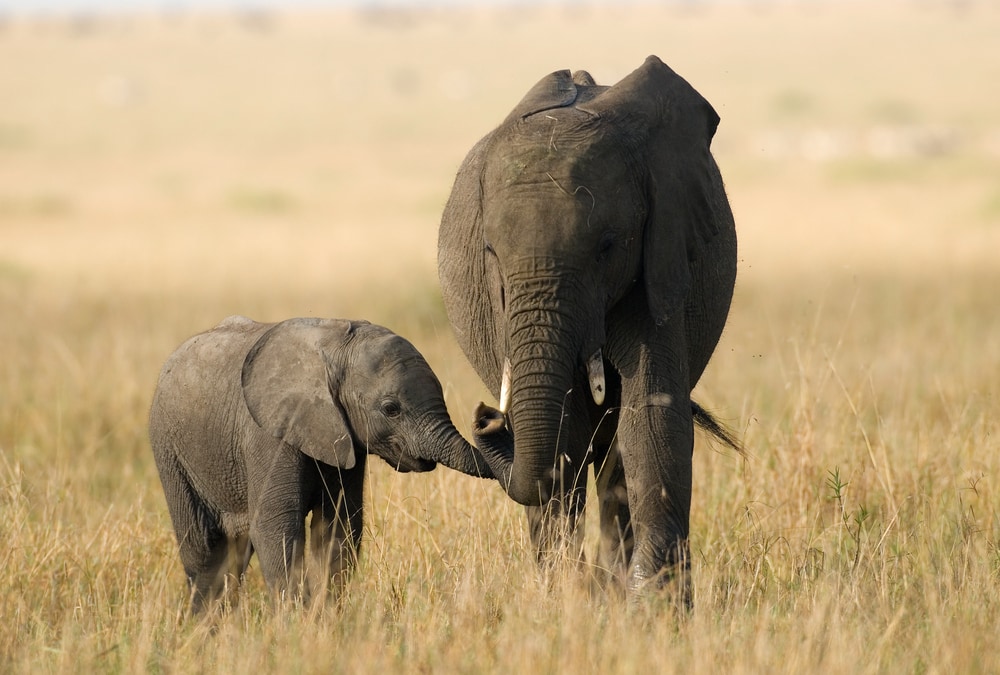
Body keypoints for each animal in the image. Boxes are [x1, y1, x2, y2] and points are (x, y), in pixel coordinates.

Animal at [148, 315, 513, 612]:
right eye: (391, 409)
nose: (488, 415)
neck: (335, 349)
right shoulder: (269, 434)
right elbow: (275, 526)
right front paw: (294, 626)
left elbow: (339, 526)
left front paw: (324, 620)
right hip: (170, 451)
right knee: (204, 551)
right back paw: (205, 629)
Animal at [438, 55, 739, 601]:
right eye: (490, 253)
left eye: (606, 246)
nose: (487, 417)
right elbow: (564, 433)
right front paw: (568, 597)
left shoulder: (661, 251)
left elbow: (650, 413)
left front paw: (650, 604)